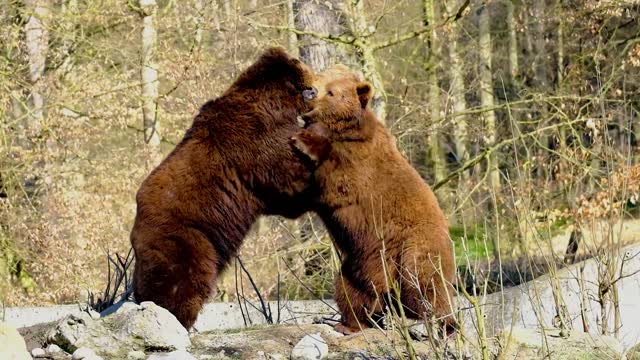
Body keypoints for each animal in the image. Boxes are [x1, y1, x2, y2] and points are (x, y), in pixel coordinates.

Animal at [131, 47, 320, 330]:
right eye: (307, 83)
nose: (316, 91)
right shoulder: (254, 140)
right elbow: (287, 174)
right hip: (190, 239)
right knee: (185, 282)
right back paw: (176, 319)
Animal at [292, 69, 458, 334]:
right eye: (319, 77)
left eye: (331, 91)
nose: (309, 91)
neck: (343, 129)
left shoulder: (360, 161)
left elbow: (338, 177)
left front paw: (303, 140)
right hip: (360, 266)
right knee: (352, 292)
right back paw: (352, 323)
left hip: (415, 248)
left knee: (425, 285)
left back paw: (444, 324)